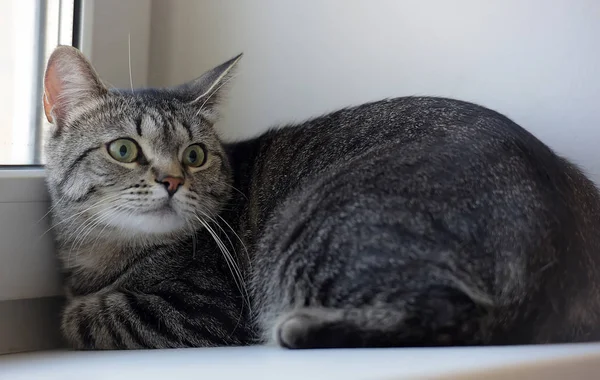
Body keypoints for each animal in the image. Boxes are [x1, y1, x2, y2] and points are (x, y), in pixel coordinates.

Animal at [42, 45, 600, 350]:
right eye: (124, 149)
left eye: (195, 155)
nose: (174, 180)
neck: (100, 257)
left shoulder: (201, 309)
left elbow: (83, 316)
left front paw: (77, 309)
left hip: (316, 228)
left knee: (463, 318)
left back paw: (300, 328)